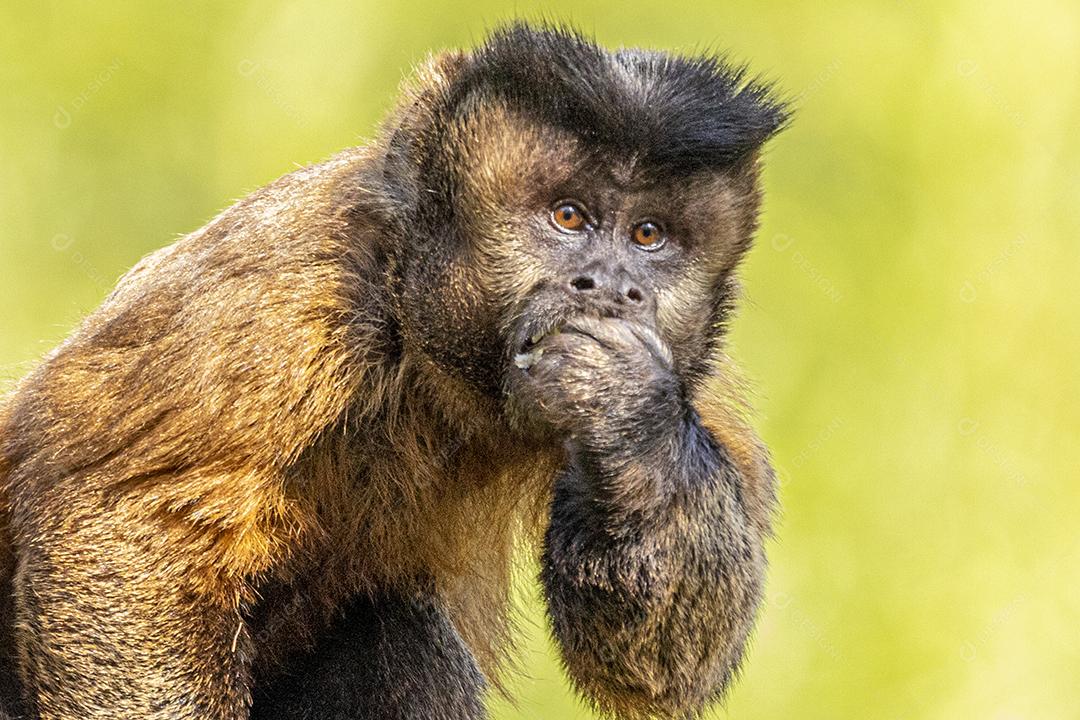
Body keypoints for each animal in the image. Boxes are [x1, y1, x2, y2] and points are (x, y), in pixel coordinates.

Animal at [0, 22, 788, 720]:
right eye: (568, 217)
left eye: (648, 235)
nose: (613, 286)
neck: (425, 352)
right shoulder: (300, 284)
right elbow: (121, 527)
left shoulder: (688, 366)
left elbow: (664, 669)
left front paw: (625, 410)